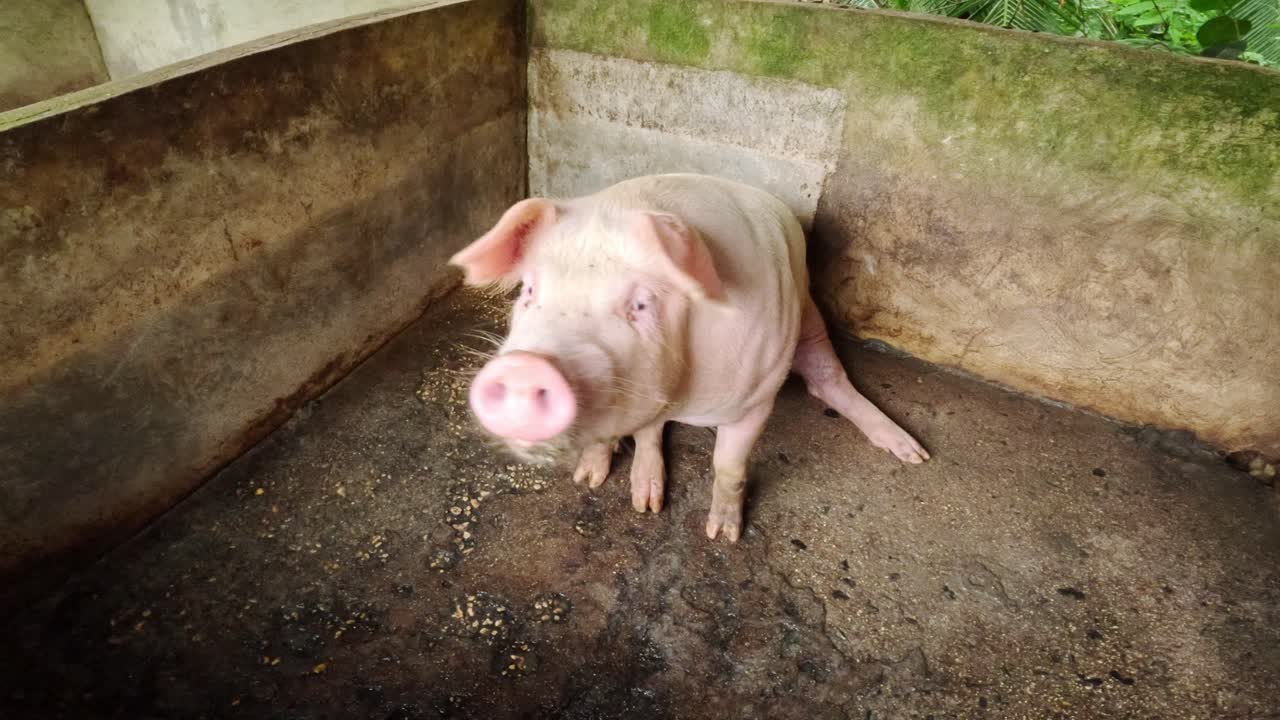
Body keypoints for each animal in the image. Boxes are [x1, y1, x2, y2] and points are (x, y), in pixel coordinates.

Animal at [449, 173, 928, 541]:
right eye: (529, 291)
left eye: (641, 305)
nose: (526, 367)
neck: (681, 395)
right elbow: (637, 435)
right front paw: (614, 491)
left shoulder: (757, 397)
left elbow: (728, 466)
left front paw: (723, 535)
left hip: (809, 317)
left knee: (826, 380)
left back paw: (912, 454)